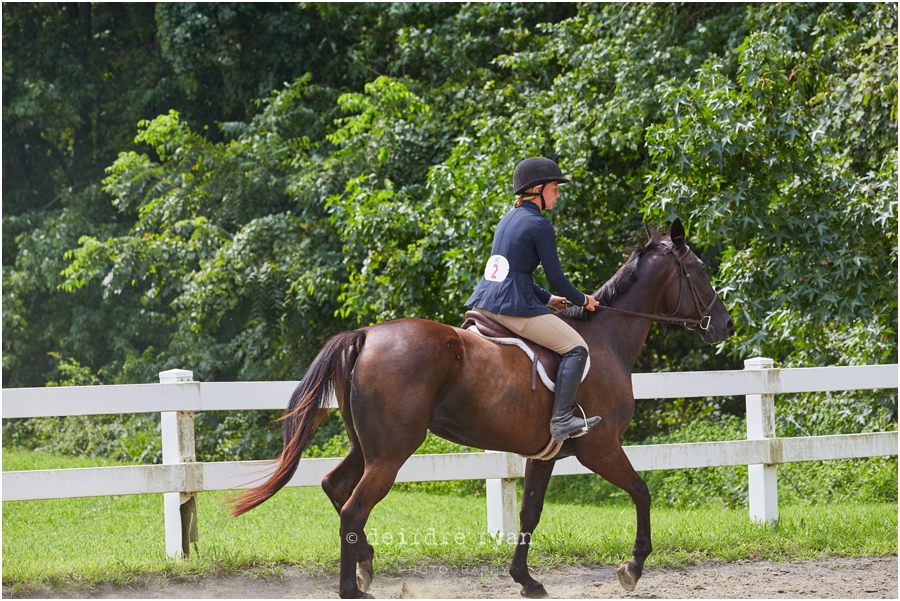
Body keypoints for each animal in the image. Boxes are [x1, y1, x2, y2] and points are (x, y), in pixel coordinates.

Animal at [229, 218, 736, 596]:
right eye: (699, 269)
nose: (724, 325)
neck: (607, 337)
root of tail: (367, 334)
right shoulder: (601, 448)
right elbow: (642, 492)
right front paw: (633, 567)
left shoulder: (545, 454)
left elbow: (530, 513)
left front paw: (526, 580)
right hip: (392, 453)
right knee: (354, 508)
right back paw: (352, 589)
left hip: (369, 447)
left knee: (335, 486)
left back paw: (366, 566)